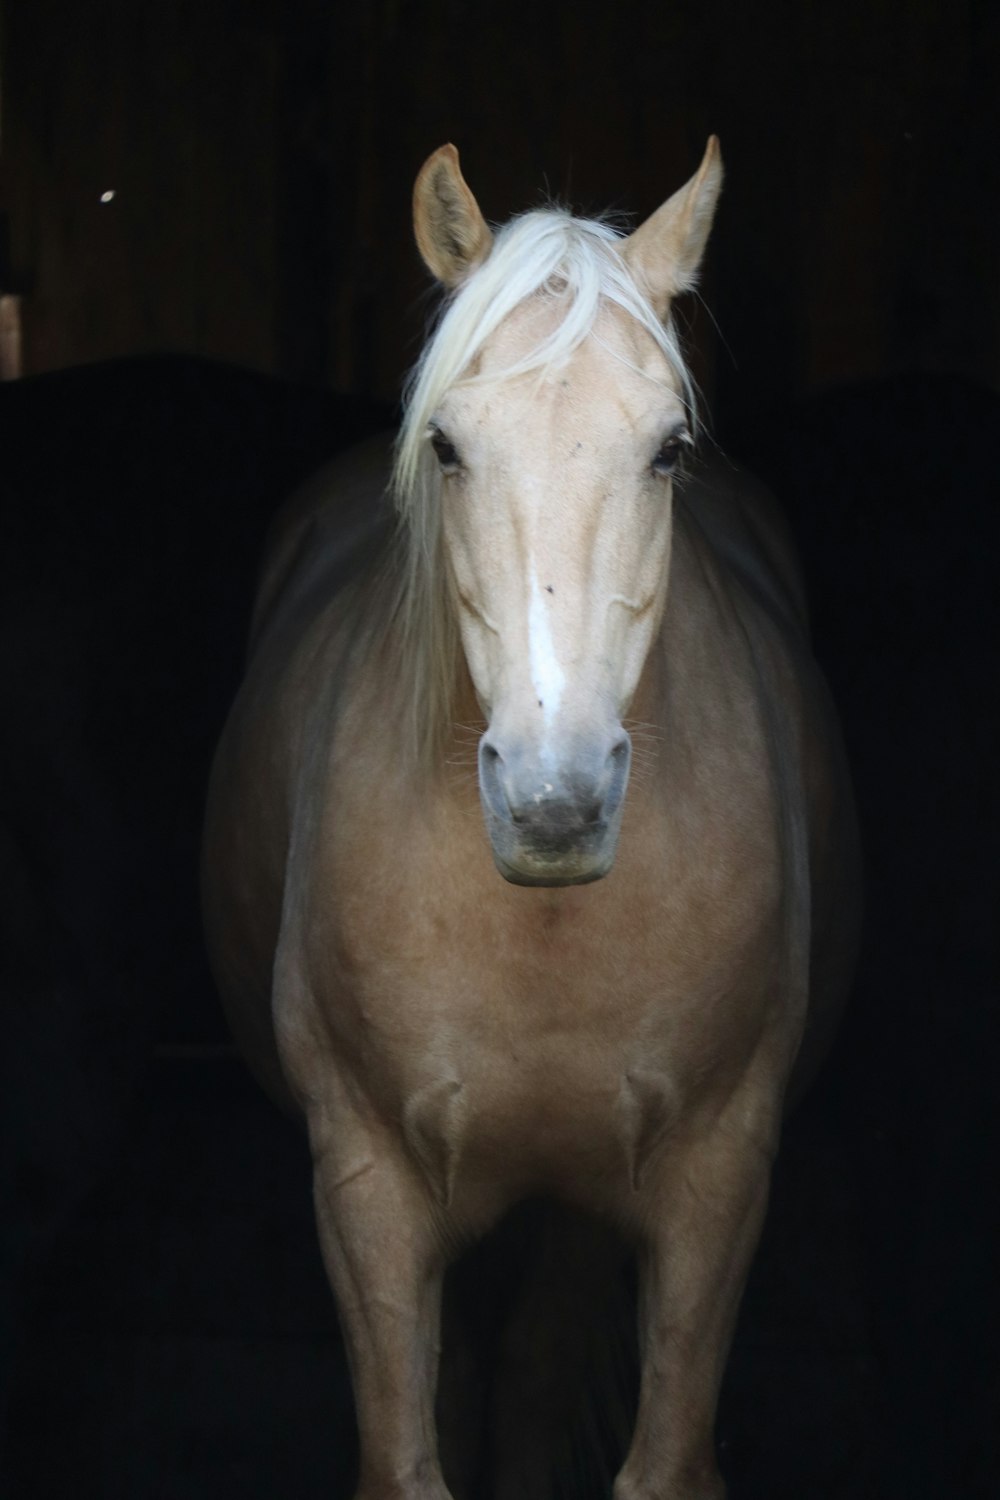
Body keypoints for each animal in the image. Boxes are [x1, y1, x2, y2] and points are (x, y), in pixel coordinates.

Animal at [200, 141, 863, 1500]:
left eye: (667, 448)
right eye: (448, 446)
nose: (553, 800)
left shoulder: (719, 1181)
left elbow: (654, 1460)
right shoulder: (367, 1186)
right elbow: (410, 1456)